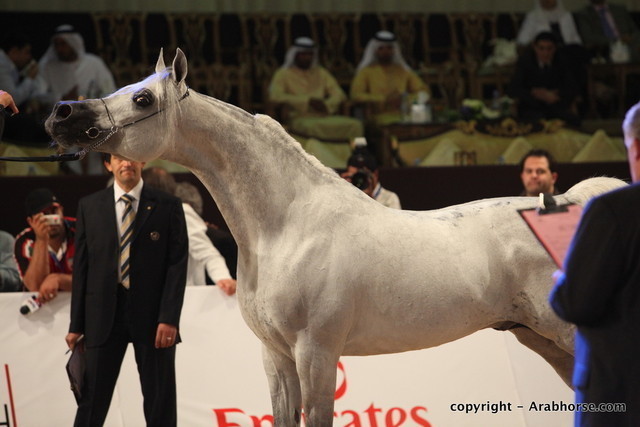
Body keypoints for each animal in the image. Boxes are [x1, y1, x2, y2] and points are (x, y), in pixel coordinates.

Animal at [45, 49, 627, 426]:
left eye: (143, 98)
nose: (62, 113)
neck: (288, 225)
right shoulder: (277, 358)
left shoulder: (317, 355)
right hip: (543, 339)